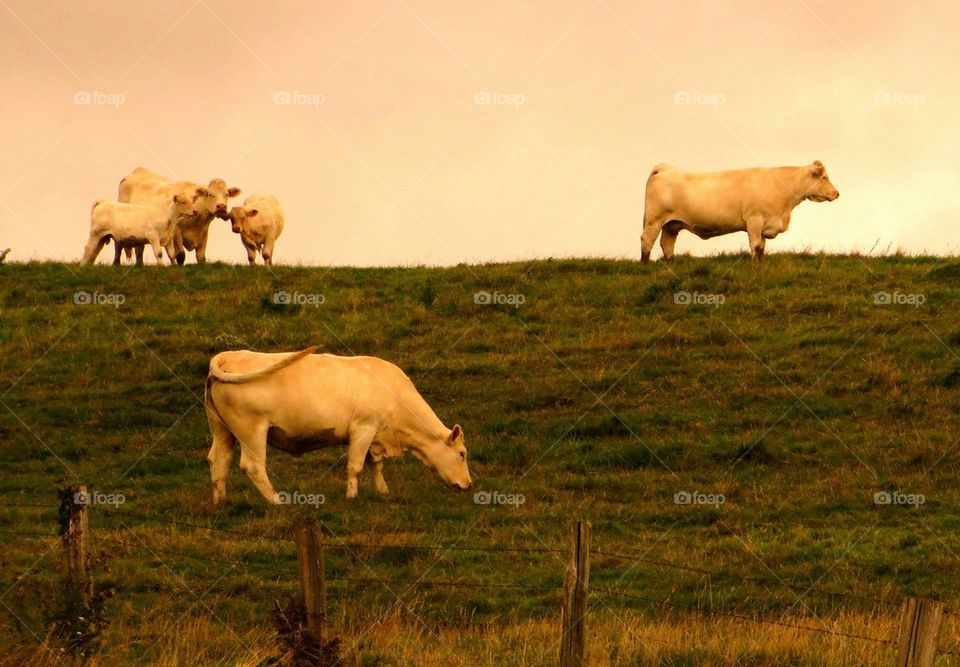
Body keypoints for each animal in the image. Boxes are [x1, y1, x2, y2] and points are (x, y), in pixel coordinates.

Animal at [204, 347, 473, 504]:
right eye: (462, 454)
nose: (469, 485)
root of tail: (229, 356)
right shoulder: (363, 429)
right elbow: (355, 466)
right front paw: (351, 497)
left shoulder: (375, 436)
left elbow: (376, 465)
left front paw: (383, 491)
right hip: (252, 431)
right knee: (253, 466)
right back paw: (277, 501)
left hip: (222, 430)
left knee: (219, 460)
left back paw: (220, 502)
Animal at [641, 160, 840, 263]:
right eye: (824, 177)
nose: (837, 193)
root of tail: (664, 168)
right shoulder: (754, 219)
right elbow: (755, 245)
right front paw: (754, 267)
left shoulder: (765, 225)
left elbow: (762, 248)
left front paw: (761, 265)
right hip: (654, 220)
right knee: (647, 241)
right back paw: (645, 266)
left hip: (672, 224)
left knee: (667, 244)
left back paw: (671, 265)